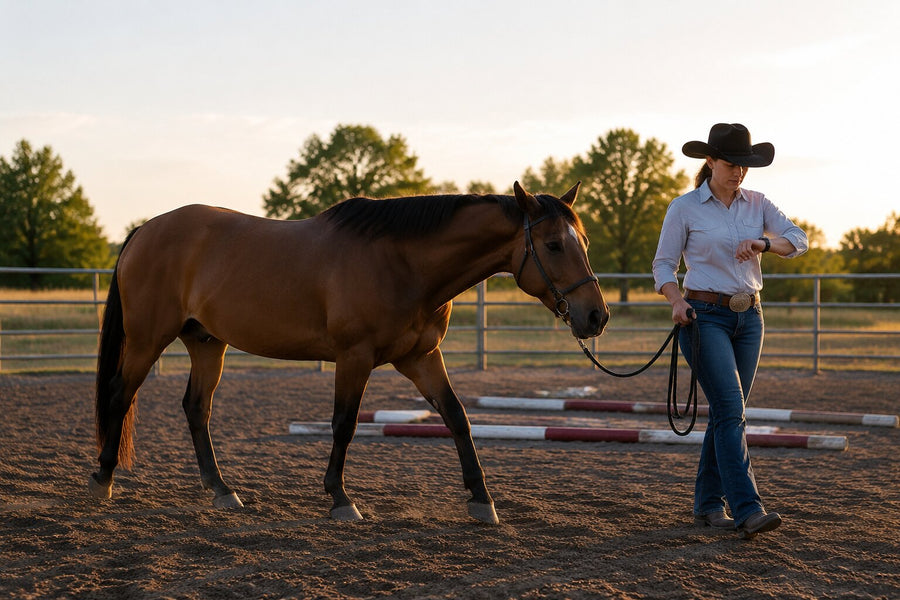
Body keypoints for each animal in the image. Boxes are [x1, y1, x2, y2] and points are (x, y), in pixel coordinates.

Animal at [89, 181, 609, 524]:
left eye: (583, 241)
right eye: (553, 244)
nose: (596, 316)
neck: (401, 263)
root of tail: (143, 231)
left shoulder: (422, 358)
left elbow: (457, 417)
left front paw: (482, 500)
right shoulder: (353, 358)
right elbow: (345, 423)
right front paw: (341, 499)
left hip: (206, 343)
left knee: (197, 409)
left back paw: (222, 491)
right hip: (147, 340)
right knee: (119, 395)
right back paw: (103, 479)